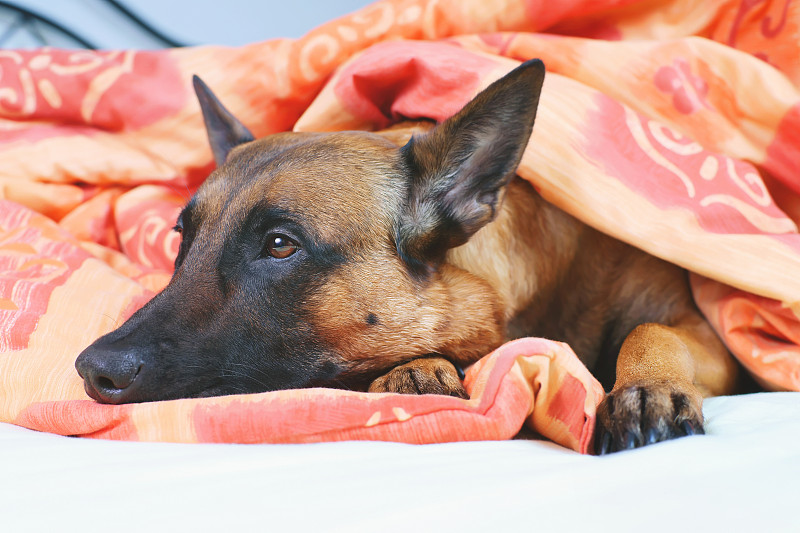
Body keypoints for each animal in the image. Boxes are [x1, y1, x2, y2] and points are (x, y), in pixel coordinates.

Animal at [75, 61, 744, 454]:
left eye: (279, 244)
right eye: (181, 240)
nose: (90, 369)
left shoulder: (705, 333)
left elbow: (654, 329)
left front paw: (647, 384)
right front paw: (416, 369)